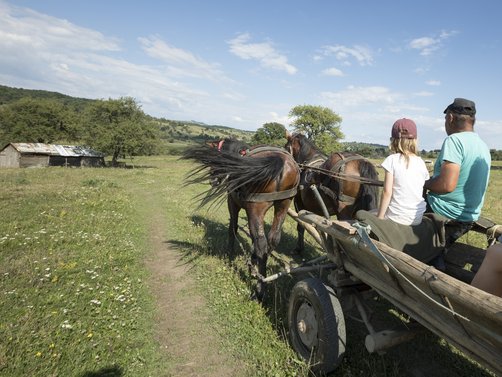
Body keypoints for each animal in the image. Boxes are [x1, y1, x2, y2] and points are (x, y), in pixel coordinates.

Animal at [182, 138, 300, 300]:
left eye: (216, 161)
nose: (213, 181)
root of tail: (281, 161)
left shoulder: (232, 202)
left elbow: (233, 228)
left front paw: (229, 255)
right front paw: (253, 259)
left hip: (256, 208)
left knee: (261, 243)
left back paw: (260, 288)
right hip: (283, 204)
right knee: (272, 239)